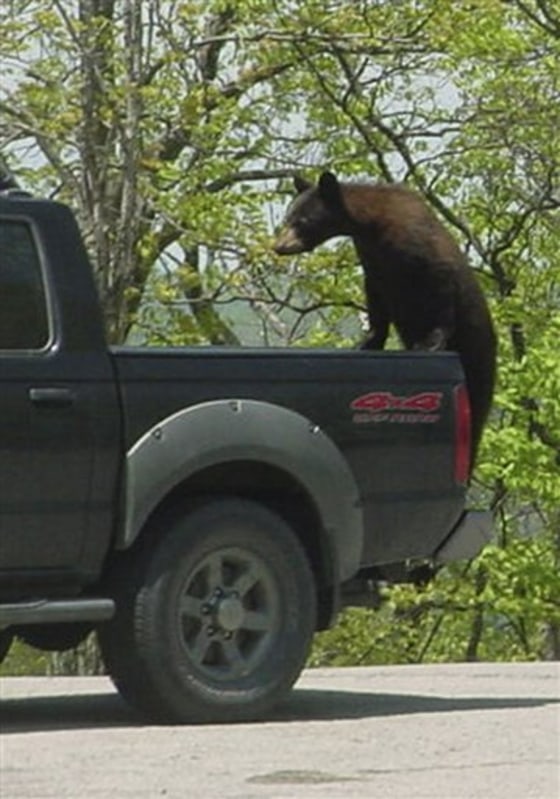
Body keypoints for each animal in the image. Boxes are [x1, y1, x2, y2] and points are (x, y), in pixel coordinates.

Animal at [273, 170, 497, 473]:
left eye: (302, 221)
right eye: (287, 218)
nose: (278, 246)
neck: (372, 227)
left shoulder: (421, 250)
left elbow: (440, 290)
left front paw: (429, 342)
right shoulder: (373, 261)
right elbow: (376, 301)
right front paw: (367, 342)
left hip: (479, 364)